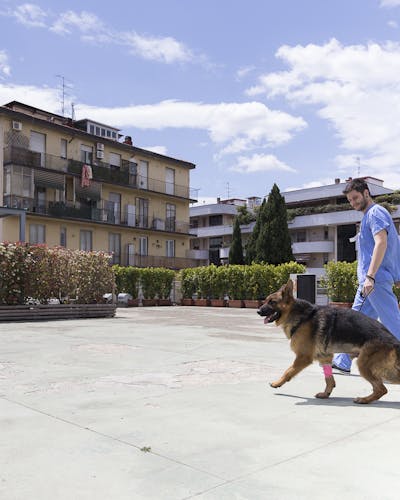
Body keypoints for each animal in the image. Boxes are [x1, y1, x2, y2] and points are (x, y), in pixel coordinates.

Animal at [258, 280, 400, 404]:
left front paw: (277, 383)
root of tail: (393, 339)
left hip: (364, 365)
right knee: (382, 388)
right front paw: (326, 393)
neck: (299, 315)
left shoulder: (303, 358)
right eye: (265, 301)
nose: (258, 311)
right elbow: (329, 379)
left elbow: (288, 371)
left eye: (272, 302)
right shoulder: (324, 357)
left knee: (382, 389)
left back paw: (364, 400)